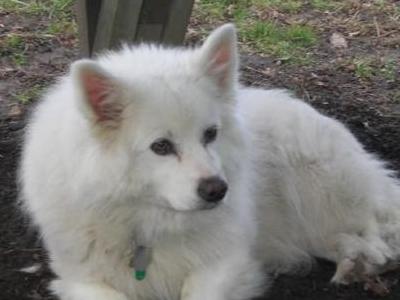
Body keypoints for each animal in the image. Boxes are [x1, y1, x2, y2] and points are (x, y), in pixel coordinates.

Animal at [19, 24, 400, 300]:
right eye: (161, 146)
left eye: (210, 134)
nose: (217, 190)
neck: (147, 224)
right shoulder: (80, 279)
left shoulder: (226, 263)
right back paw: (354, 263)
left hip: (321, 189)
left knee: (377, 233)